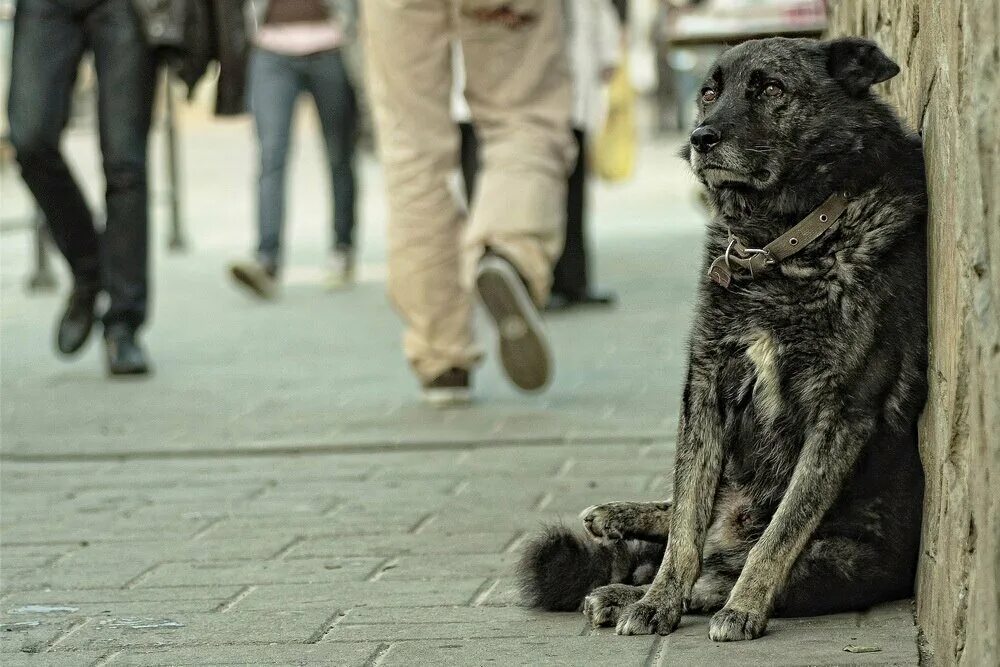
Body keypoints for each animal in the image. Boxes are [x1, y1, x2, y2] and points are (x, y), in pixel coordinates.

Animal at [520, 36, 924, 640]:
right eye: (709, 92)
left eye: (771, 89)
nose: (700, 138)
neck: (780, 242)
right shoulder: (706, 385)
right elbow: (687, 517)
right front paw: (658, 600)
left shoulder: (842, 412)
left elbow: (782, 529)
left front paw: (745, 605)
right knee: (691, 518)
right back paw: (617, 532)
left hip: (843, 558)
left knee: (722, 569)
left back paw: (639, 586)